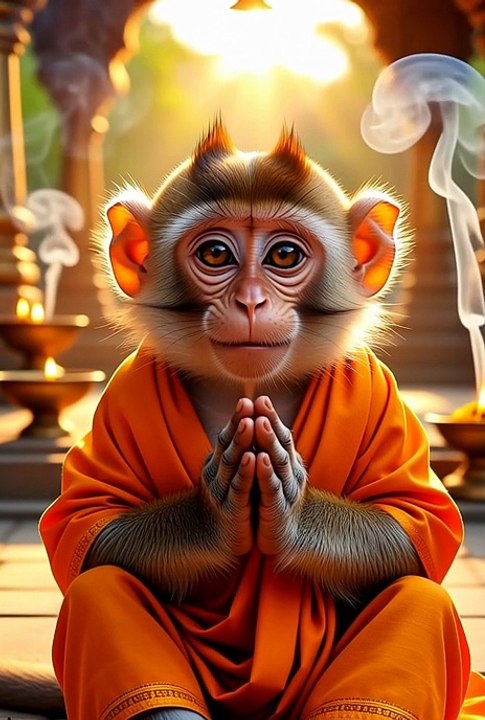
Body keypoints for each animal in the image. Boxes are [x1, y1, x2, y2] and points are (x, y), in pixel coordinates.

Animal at [2, 120, 477, 719]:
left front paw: (291, 509)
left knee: (419, 597)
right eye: (215, 253)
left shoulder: (379, 389)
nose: (250, 302)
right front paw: (216, 514)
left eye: (284, 255)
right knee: (100, 589)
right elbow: (88, 530)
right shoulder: (123, 394)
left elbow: (415, 527)